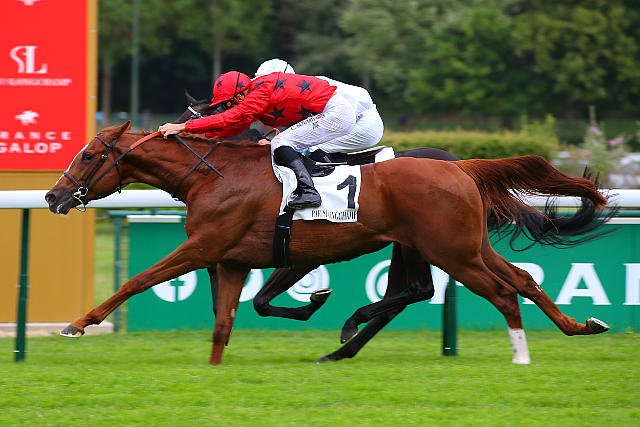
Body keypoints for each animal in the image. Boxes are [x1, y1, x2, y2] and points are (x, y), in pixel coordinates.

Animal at [45, 121, 612, 365]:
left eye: (90, 155)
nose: (52, 196)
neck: (215, 175)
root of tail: (461, 167)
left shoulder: (204, 248)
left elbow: (137, 280)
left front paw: (77, 324)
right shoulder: (231, 261)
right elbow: (227, 319)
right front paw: (214, 372)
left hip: (452, 252)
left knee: (499, 294)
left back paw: (520, 354)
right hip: (465, 245)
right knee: (520, 279)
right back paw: (581, 325)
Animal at [176, 93, 614, 363]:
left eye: (195, 117)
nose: (170, 132)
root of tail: (462, 166)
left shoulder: (301, 251)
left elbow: (262, 299)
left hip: (432, 245)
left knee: (415, 292)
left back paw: (347, 337)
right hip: (438, 244)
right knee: (508, 279)